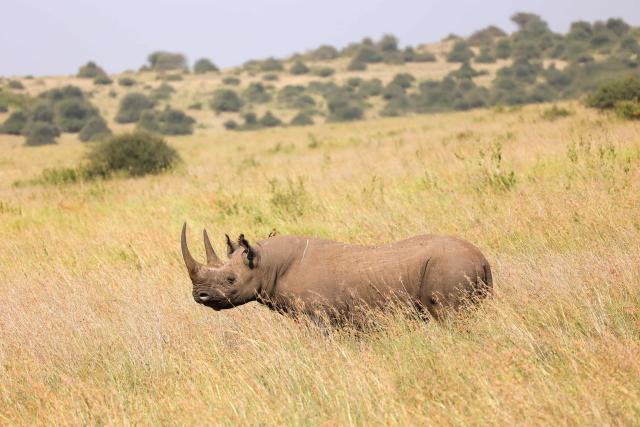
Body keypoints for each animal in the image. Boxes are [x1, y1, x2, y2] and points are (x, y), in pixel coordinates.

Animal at [181, 223, 492, 324]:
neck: (265, 263)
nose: (199, 295)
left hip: (452, 267)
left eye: (230, 280)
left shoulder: (319, 317)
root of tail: (482, 259)